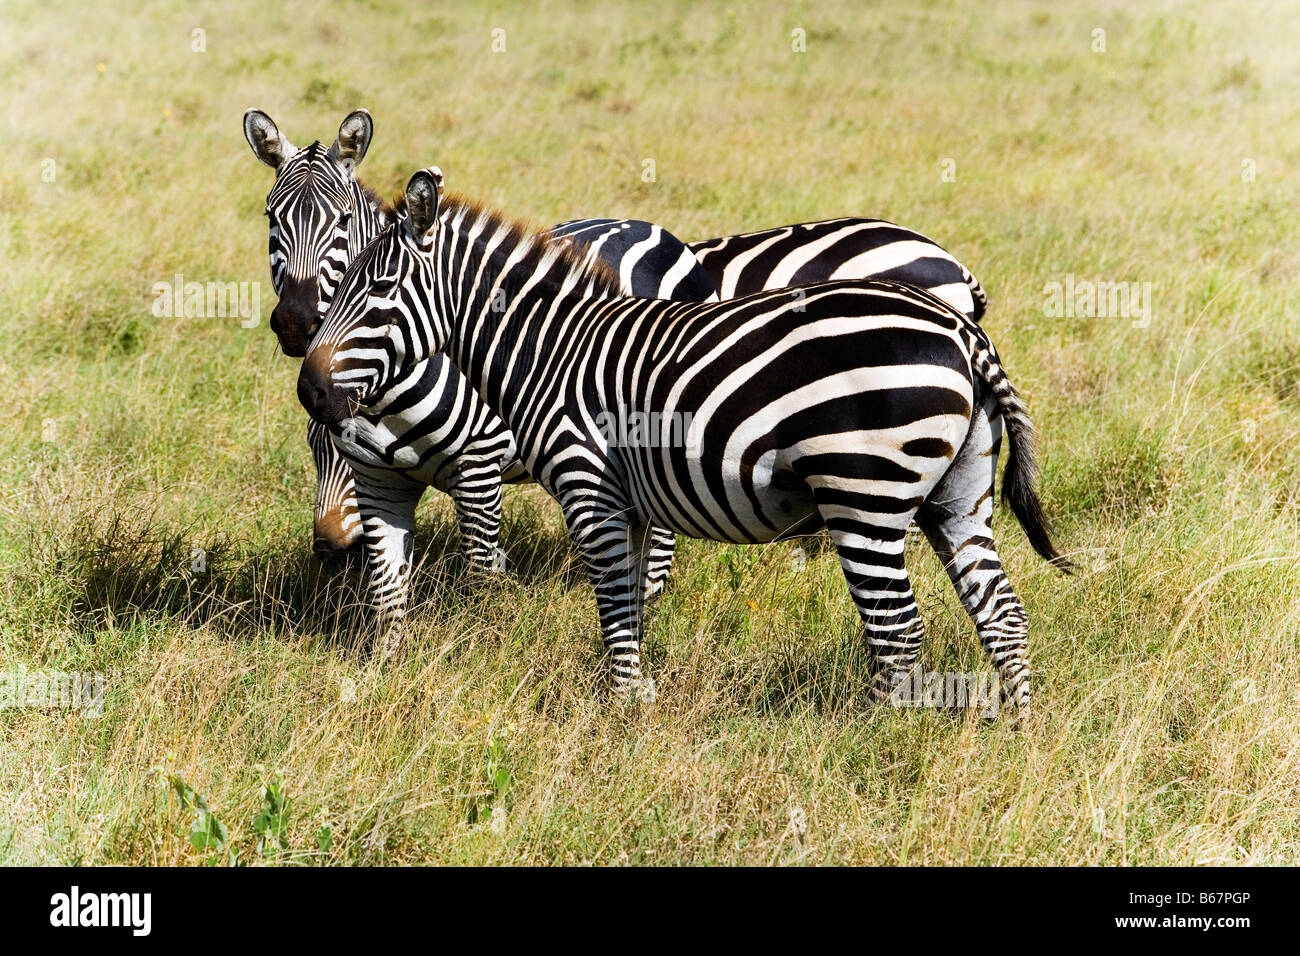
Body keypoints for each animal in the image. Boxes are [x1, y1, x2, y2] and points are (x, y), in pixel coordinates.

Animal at [299, 167, 1071, 723]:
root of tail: (961, 329)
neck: (551, 349)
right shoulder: (633, 503)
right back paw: (1014, 732)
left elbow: (614, 602)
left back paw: (875, 743)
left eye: (379, 288)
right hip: (958, 495)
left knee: (899, 634)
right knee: (1003, 617)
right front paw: (636, 697)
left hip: (865, 495)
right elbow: (635, 600)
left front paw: (621, 714)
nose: (309, 388)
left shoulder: (588, 486)